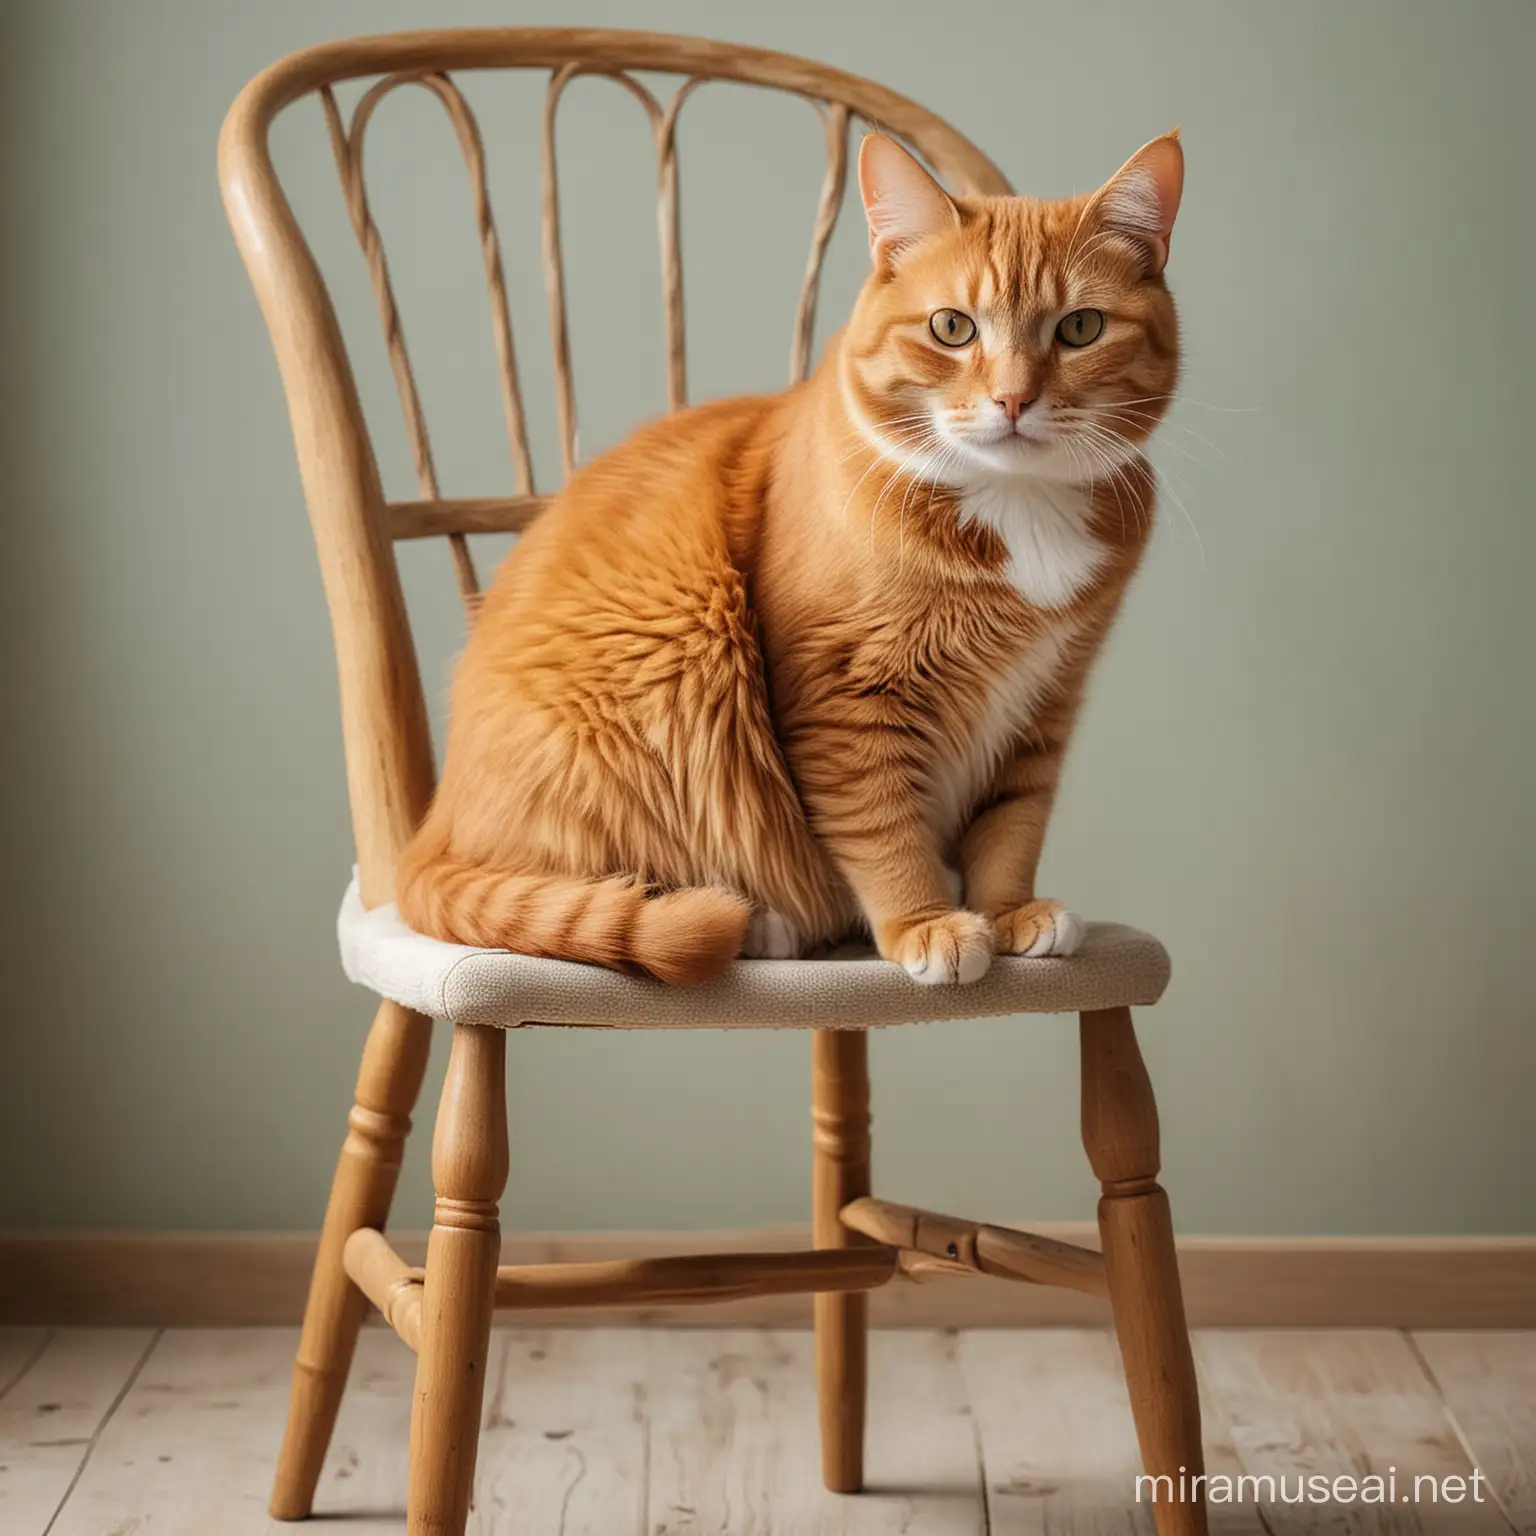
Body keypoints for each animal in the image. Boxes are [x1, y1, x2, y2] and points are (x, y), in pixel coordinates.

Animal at [390, 129, 1179, 983]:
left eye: (1080, 329)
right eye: (952, 328)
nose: (1012, 400)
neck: (1016, 507)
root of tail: (425, 835)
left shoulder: (1044, 705)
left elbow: (1011, 827)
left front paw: (1007, 913)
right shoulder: (845, 702)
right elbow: (882, 828)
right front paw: (926, 922)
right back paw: (756, 922)